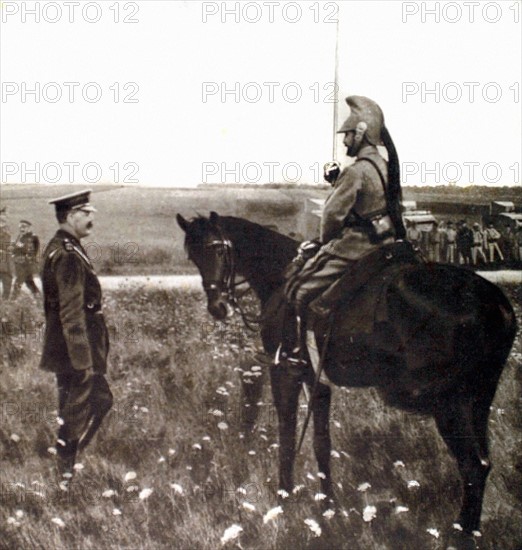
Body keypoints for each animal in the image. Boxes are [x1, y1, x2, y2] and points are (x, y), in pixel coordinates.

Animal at [176, 211, 516, 548]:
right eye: (192, 256)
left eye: (218, 249)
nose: (218, 307)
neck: (280, 277)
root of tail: (495, 303)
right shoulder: (317, 382)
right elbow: (321, 444)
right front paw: (328, 507)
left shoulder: (284, 372)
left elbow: (287, 438)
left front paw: (283, 500)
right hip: (479, 400)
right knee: (484, 463)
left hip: (450, 406)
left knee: (472, 465)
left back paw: (460, 536)